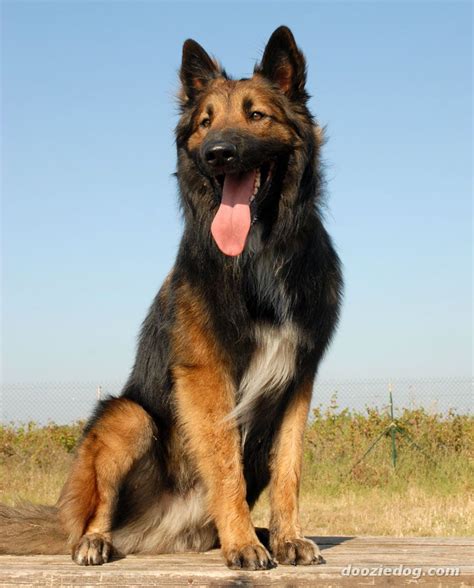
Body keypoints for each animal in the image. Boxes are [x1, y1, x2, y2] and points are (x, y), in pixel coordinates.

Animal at [0, 26, 342, 568]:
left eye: (256, 115)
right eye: (206, 122)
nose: (217, 153)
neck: (257, 258)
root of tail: (159, 533)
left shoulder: (297, 378)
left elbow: (289, 468)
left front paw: (287, 538)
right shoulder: (206, 375)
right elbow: (224, 465)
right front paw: (243, 544)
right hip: (127, 416)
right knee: (91, 514)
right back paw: (96, 541)